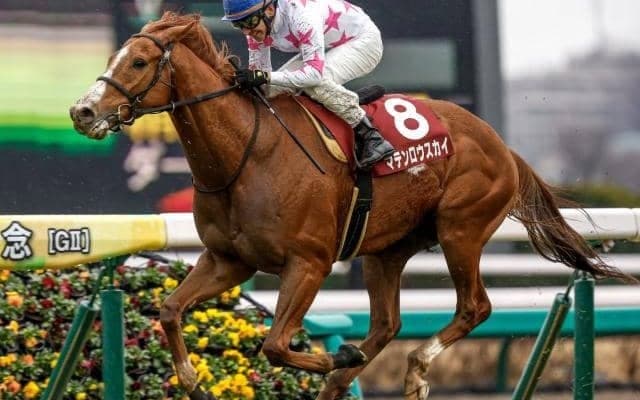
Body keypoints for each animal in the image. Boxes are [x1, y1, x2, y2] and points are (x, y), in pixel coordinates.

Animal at [69, 12, 635, 400]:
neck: (247, 153)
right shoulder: (228, 260)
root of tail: (503, 147)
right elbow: (170, 311)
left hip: (461, 229)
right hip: (385, 249)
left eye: (138, 62)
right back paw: (347, 378)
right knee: (387, 324)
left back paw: (411, 370)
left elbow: (275, 344)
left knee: (474, 307)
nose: (82, 111)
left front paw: (337, 352)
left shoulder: (309, 262)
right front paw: (192, 381)